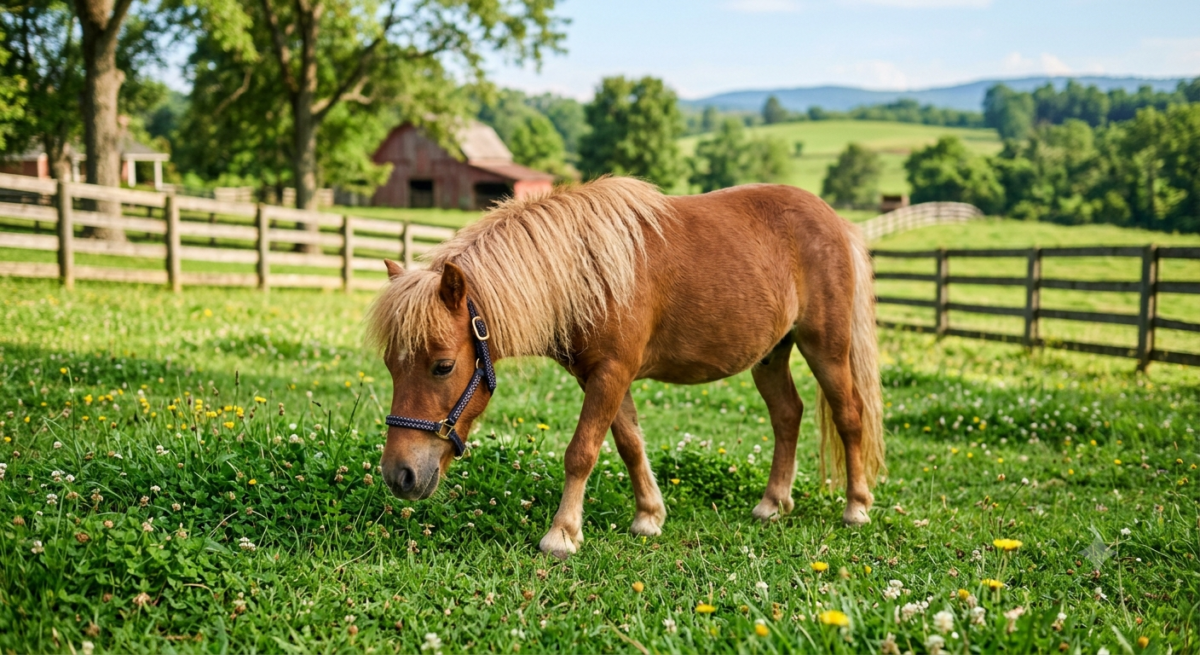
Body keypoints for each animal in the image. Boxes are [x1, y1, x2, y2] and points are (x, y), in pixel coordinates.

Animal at [366, 176, 884, 559]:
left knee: (849, 416)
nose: (398, 475)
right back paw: (773, 503)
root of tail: (837, 221)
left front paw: (562, 534)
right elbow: (630, 444)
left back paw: (857, 508)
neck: (587, 270)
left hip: (826, 349)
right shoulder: (602, 378)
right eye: (391, 366)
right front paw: (649, 516)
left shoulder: (612, 373)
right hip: (770, 356)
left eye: (443, 366)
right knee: (787, 415)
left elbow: (582, 451)